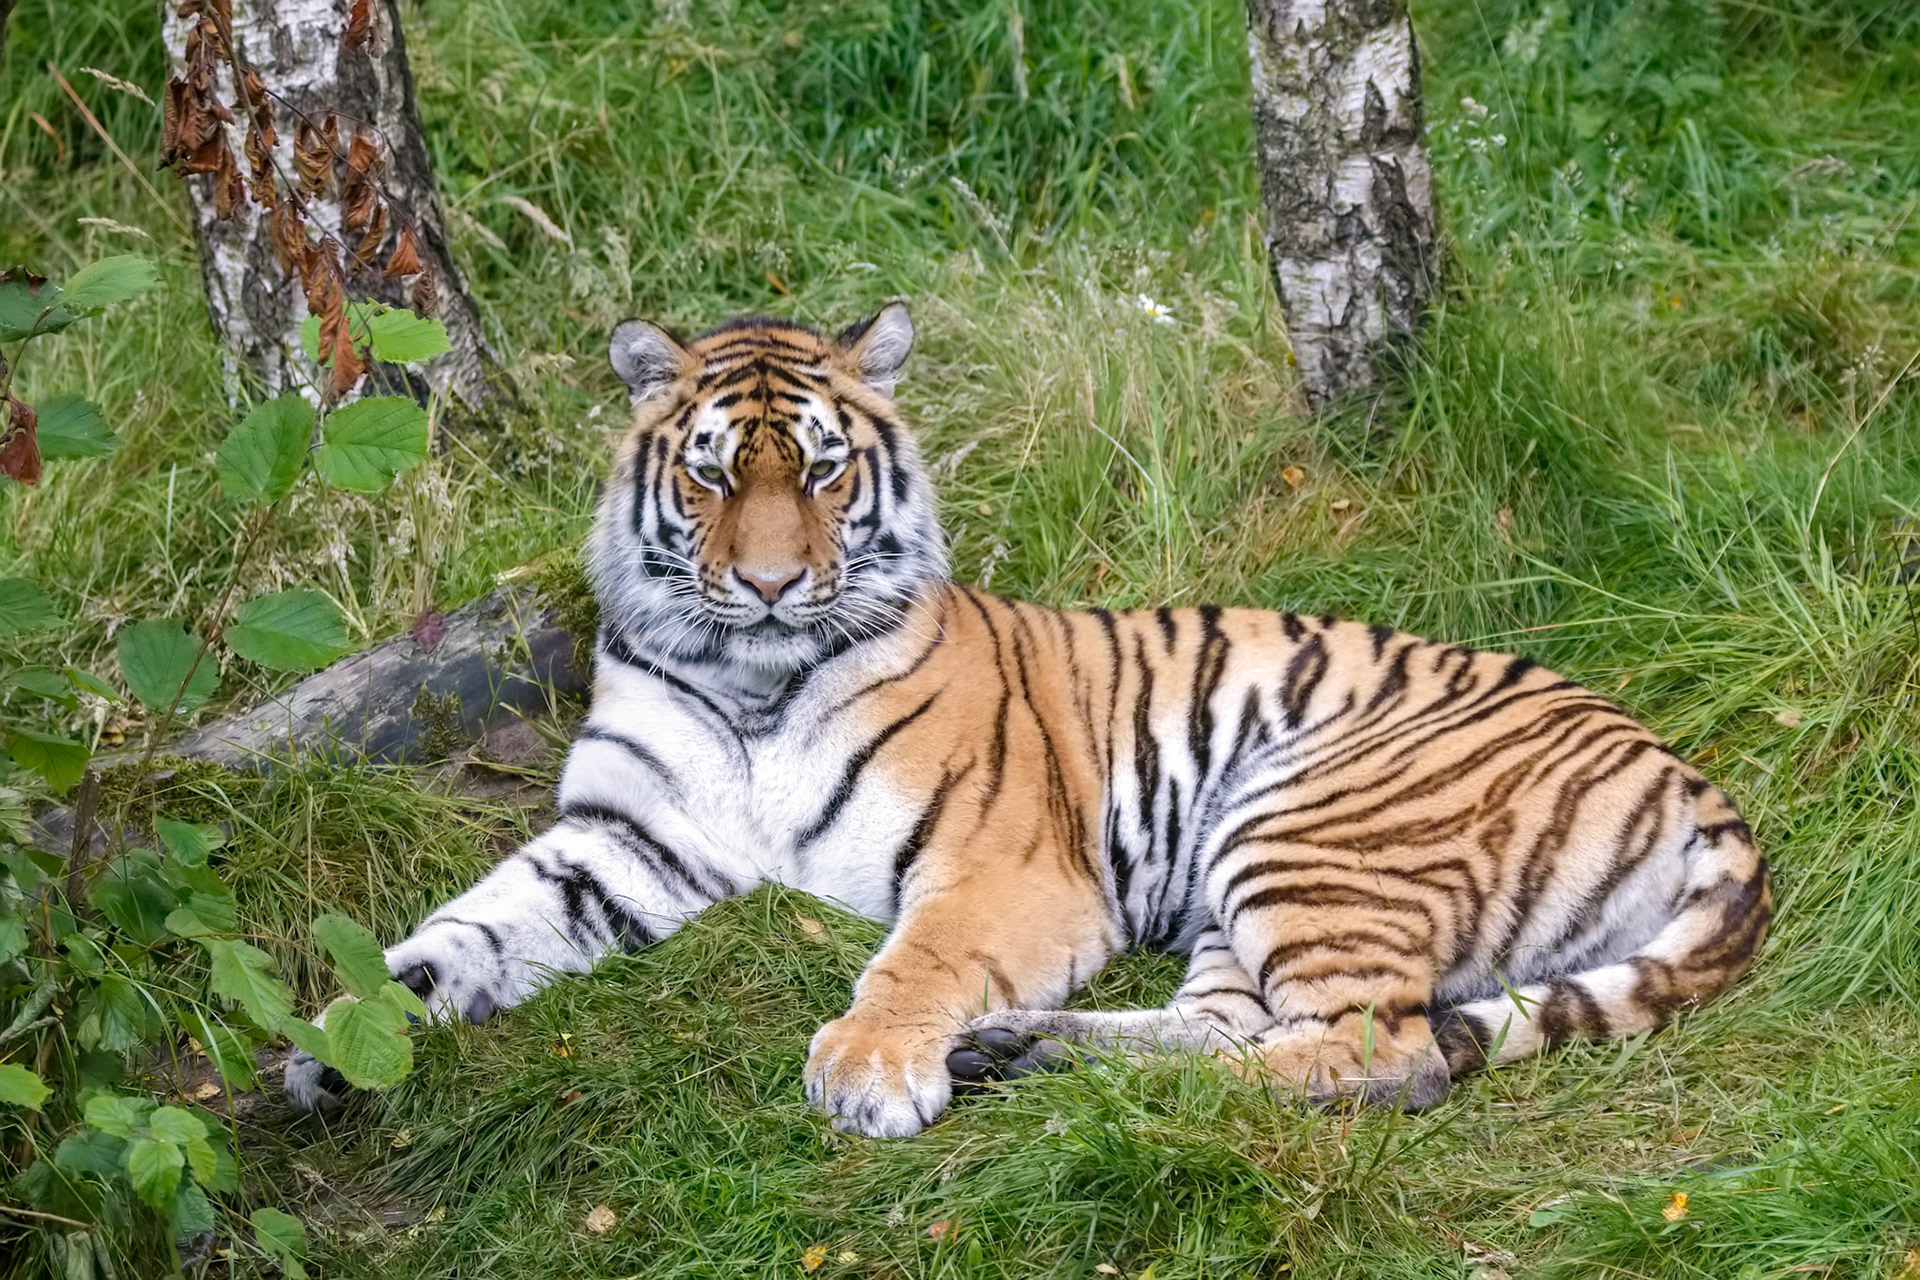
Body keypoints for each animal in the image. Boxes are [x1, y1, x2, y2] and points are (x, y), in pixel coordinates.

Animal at [284, 302, 1770, 1137]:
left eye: (820, 471)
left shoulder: (1004, 867)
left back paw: (1055, 1073)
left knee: (1383, 1054)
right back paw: (1034, 1055)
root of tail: (1690, 779)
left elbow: (915, 959)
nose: (767, 584)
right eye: (710, 478)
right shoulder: (618, 839)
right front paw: (326, 1052)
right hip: (1246, 882)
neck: (750, 676)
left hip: (1303, 814)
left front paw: (867, 1068)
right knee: (1241, 1028)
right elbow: (460, 933)